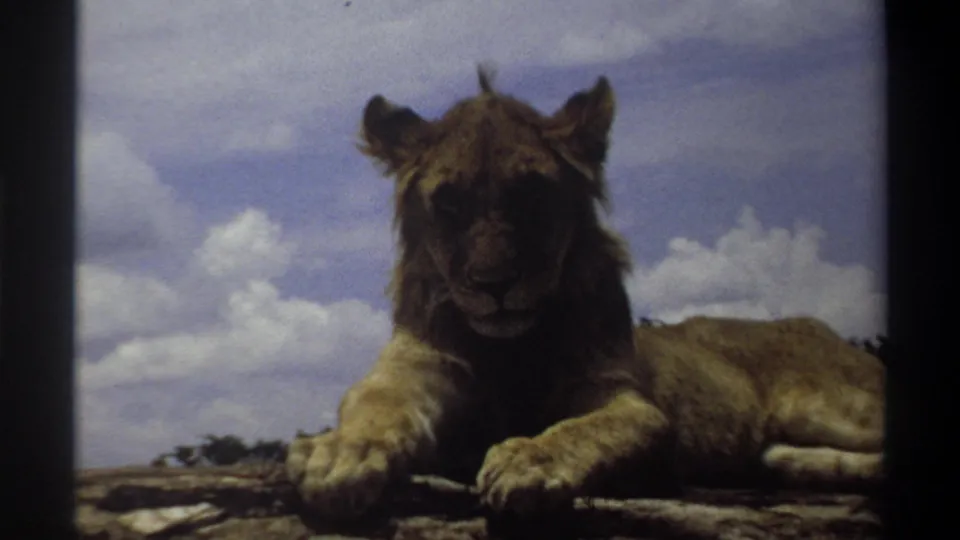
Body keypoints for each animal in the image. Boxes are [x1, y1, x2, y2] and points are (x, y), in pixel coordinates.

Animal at [285, 67, 885, 519]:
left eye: (532, 195)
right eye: (450, 203)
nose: (493, 284)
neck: (508, 348)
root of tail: (817, 325)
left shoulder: (625, 398)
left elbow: (593, 427)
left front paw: (530, 460)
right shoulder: (412, 371)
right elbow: (375, 407)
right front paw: (339, 452)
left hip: (829, 403)